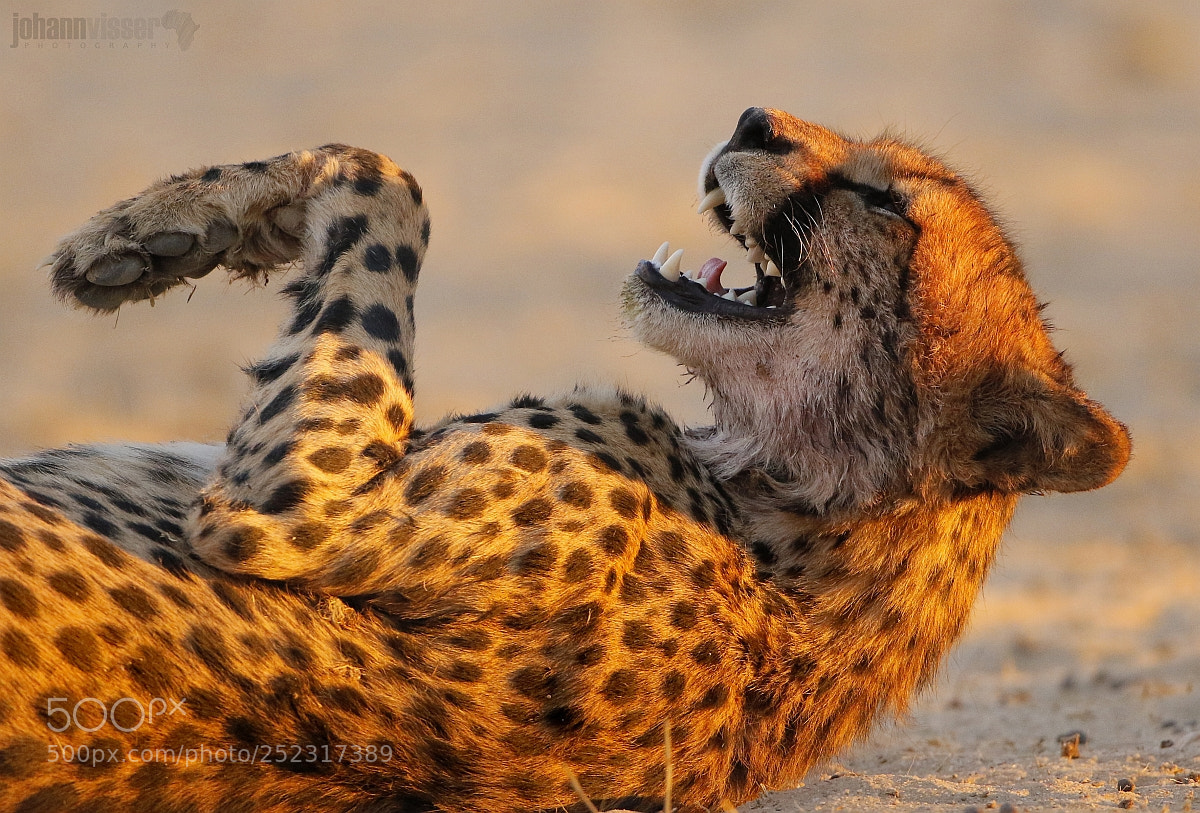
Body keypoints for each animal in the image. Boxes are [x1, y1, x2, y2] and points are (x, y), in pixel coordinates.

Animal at [0, 108, 1130, 813]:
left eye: (887, 204)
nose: (753, 122)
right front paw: (169, 229)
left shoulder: (294, 499)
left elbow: (393, 187)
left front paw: (178, 222)